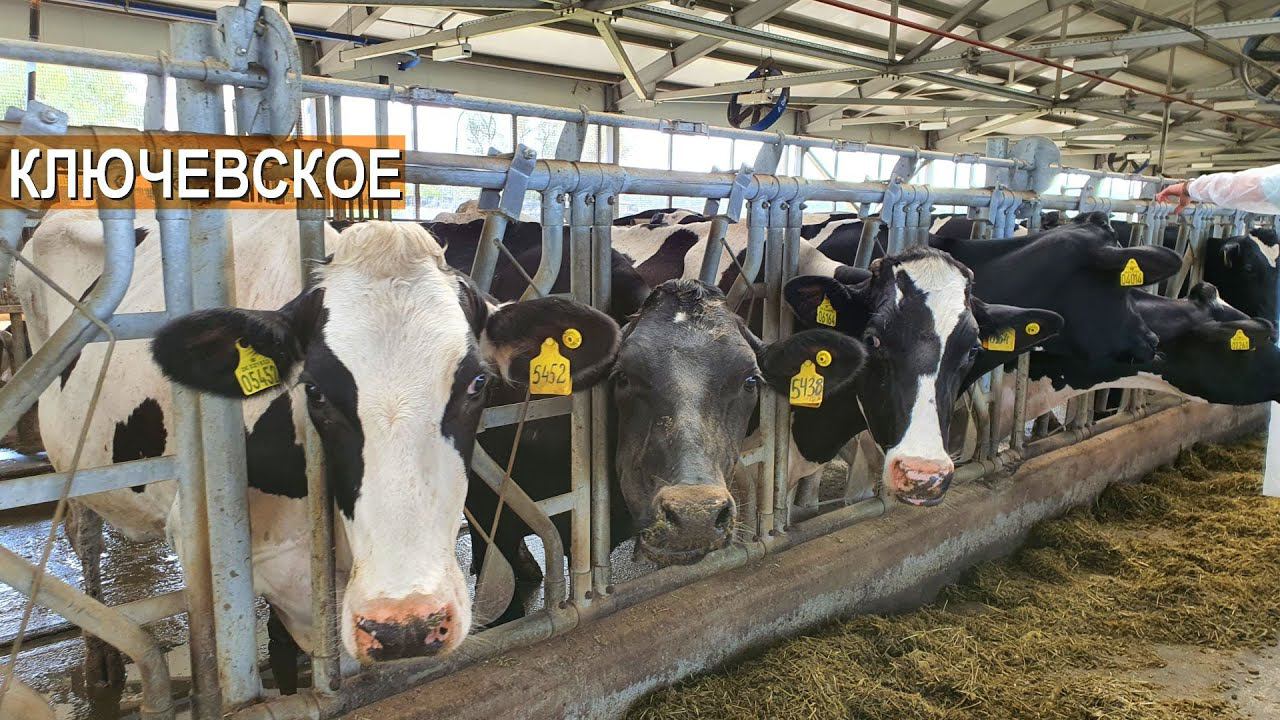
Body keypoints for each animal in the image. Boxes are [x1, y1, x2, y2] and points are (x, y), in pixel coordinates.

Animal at [20, 211, 620, 671]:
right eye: (315, 391)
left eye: (477, 383)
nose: (407, 625)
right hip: (68, 459)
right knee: (83, 536)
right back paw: (100, 656)